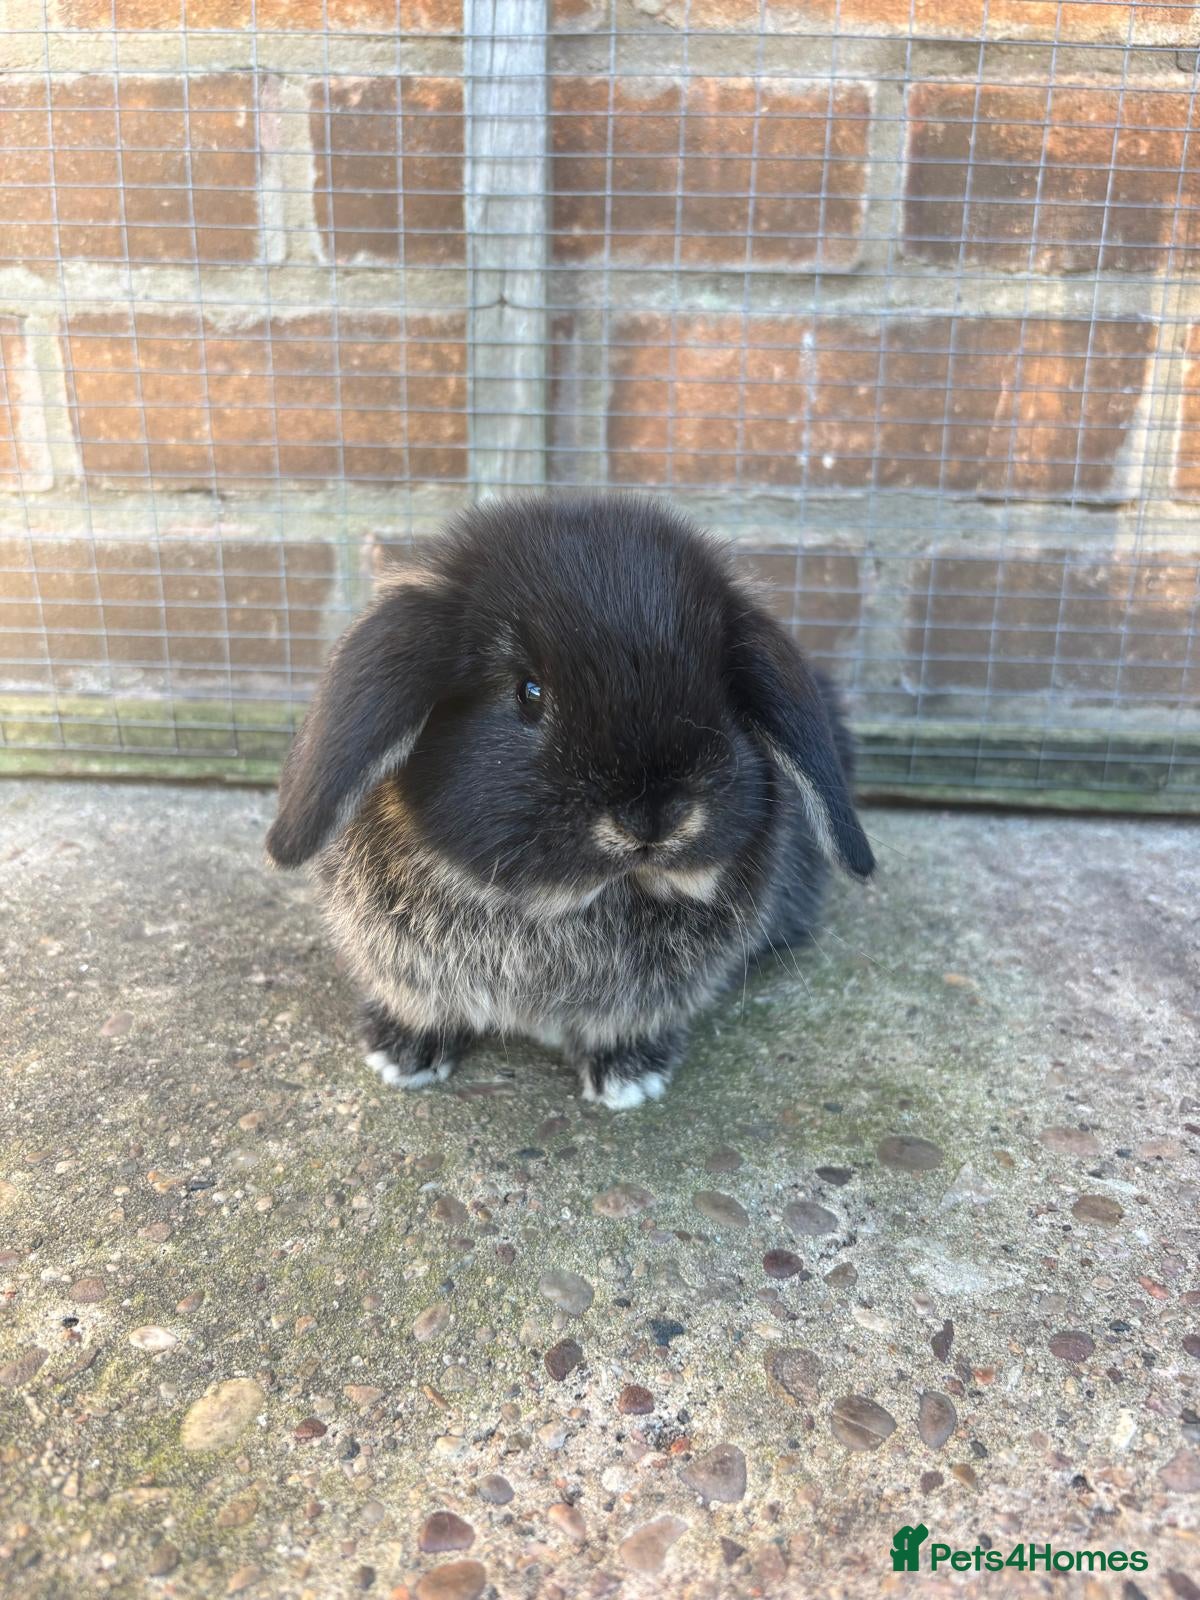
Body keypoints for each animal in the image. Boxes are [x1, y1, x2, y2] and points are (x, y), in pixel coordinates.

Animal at [266, 495, 874, 1109]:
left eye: (725, 698)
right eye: (528, 692)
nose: (652, 819)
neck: (557, 911)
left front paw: (628, 1078)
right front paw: (402, 1054)